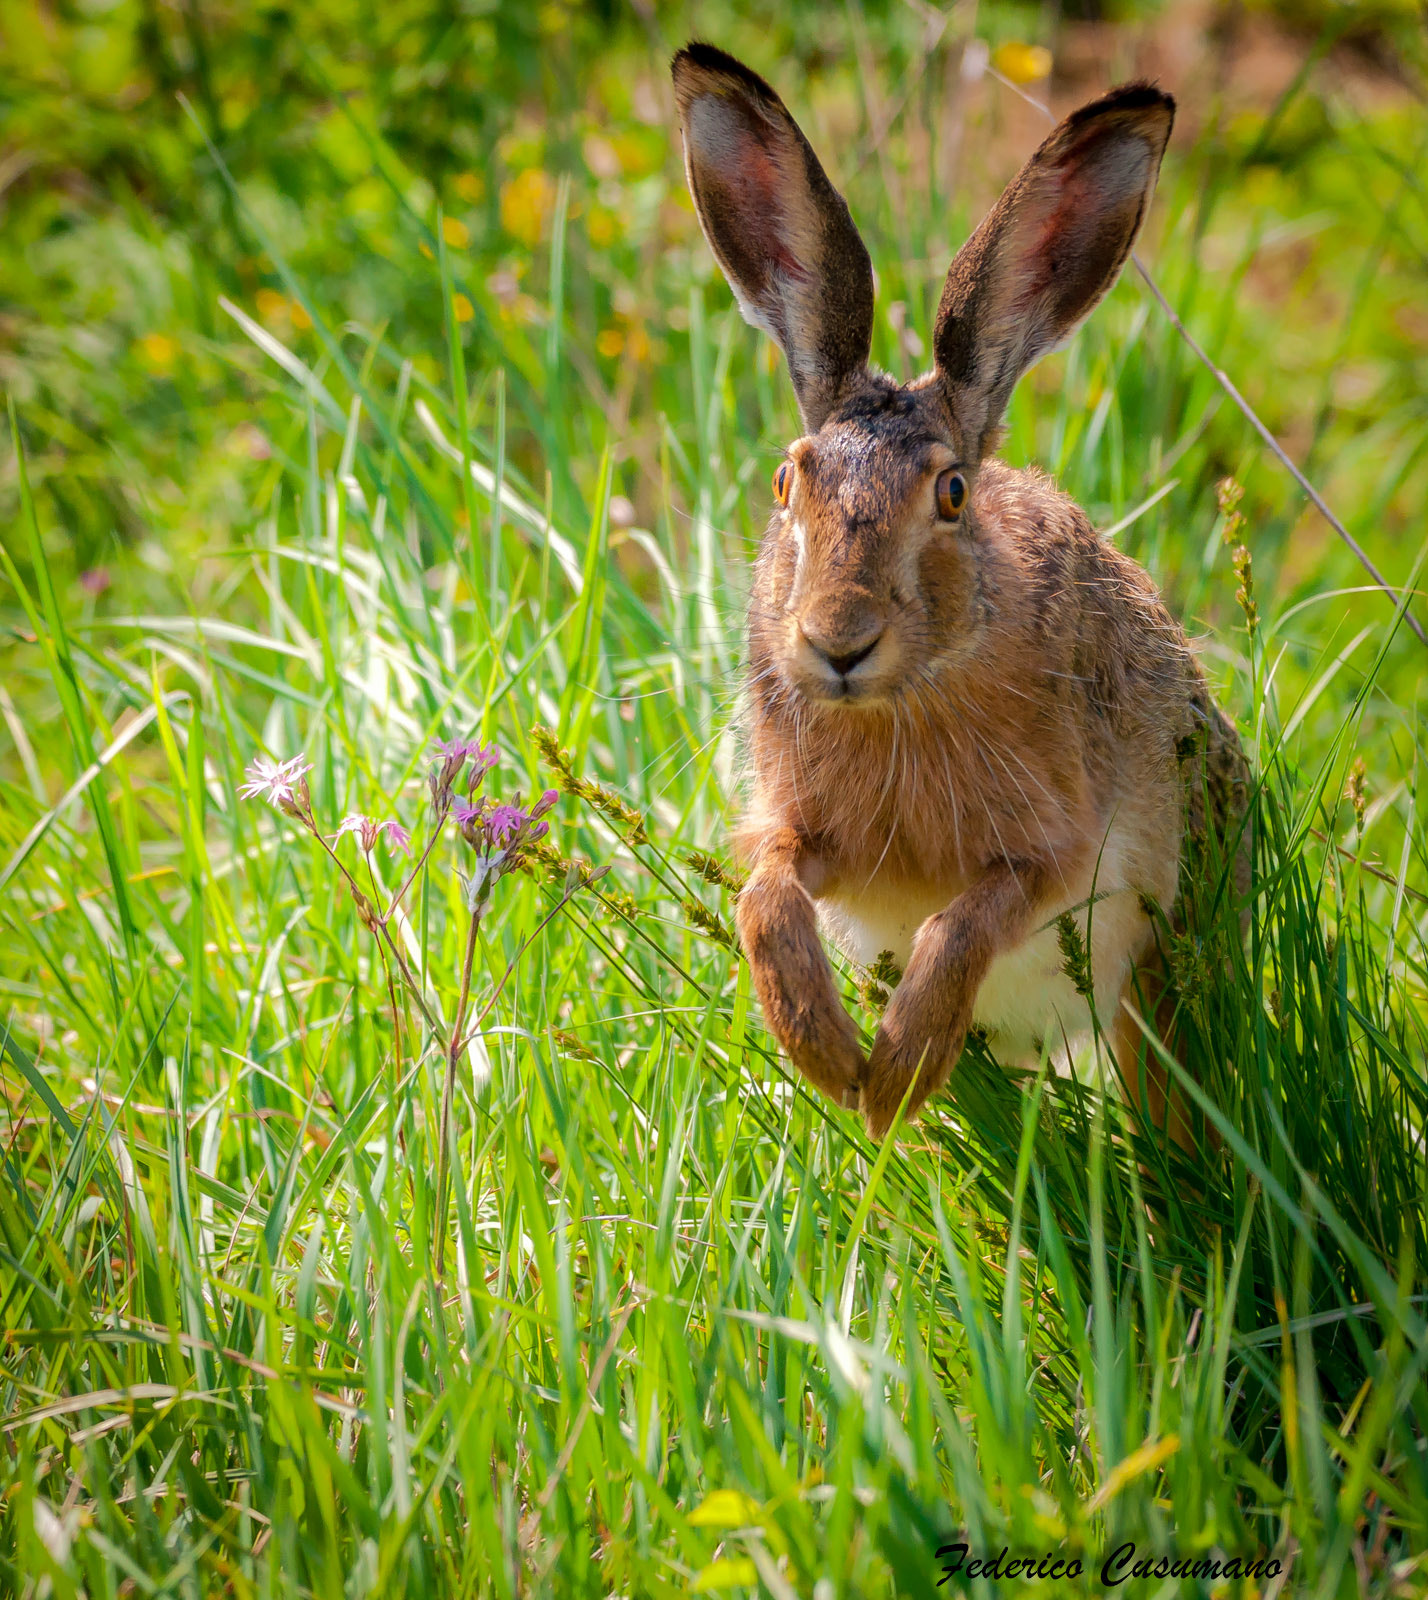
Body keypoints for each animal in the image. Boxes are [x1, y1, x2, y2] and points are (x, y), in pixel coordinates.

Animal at [670, 42, 1251, 1142]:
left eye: (950, 494)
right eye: (787, 482)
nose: (837, 641)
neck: (906, 693)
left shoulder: (1058, 853)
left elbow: (965, 920)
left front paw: (896, 1071)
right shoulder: (797, 826)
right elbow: (767, 897)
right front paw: (825, 1053)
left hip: (1153, 983)